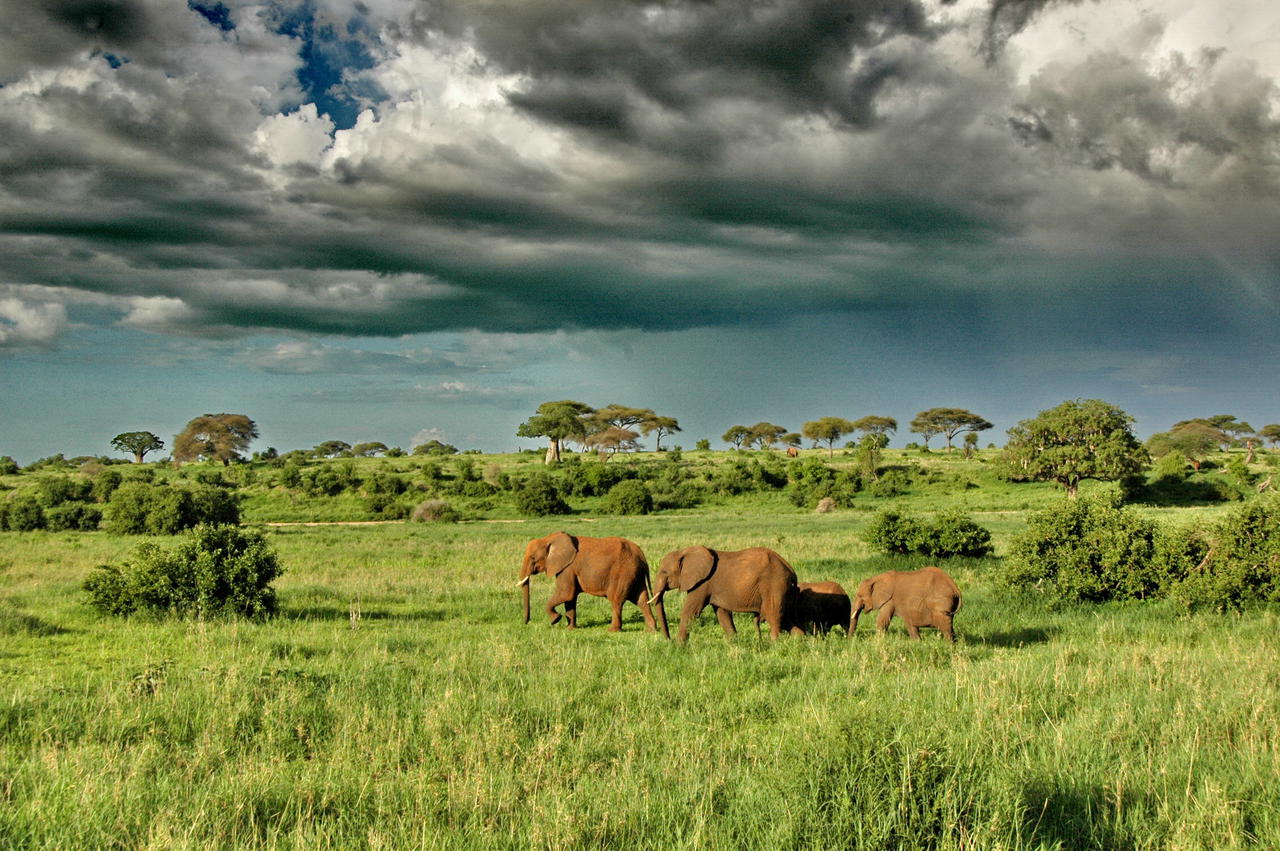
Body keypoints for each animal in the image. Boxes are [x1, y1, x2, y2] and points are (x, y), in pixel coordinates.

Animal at [514, 532, 660, 629]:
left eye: (533, 558)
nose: (525, 623)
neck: (549, 539)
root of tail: (642, 556)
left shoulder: (567, 569)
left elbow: (566, 593)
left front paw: (555, 620)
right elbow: (570, 598)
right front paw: (570, 629)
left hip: (623, 573)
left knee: (616, 600)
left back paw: (612, 630)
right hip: (635, 574)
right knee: (642, 599)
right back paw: (651, 629)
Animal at [650, 547, 798, 639]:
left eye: (664, 572)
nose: (668, 639)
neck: (684, 551)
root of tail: (790, 569)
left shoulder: (702, 584)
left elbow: (690, 611)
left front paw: (678, 646)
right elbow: (722, 613)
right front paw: (734, 642)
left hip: (774, 585)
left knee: (773, 615)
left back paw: (774, 643)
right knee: (787, 618)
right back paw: (798, 641)